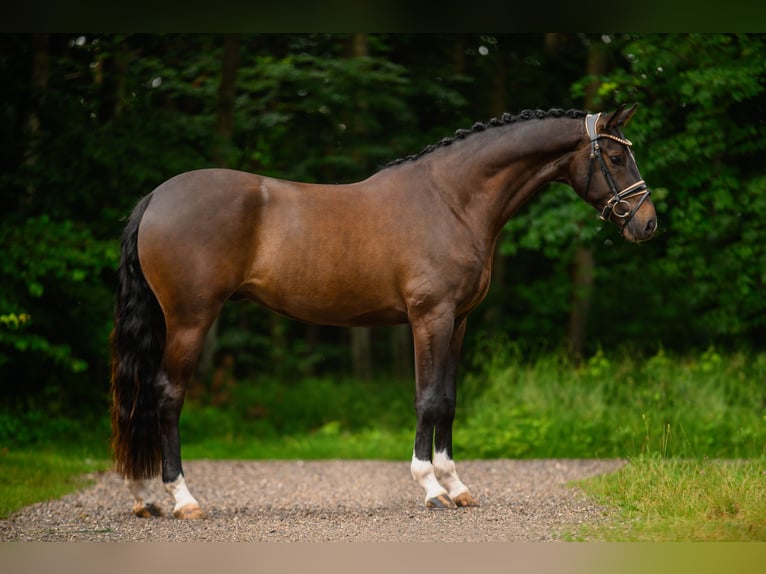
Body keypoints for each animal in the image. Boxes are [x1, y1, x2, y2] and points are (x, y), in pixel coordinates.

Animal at [111, 104, 656, 520]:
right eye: (614, 155)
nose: (647, 224)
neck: (451, 199)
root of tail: (156, 197)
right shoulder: (429, 318)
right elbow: (427, 399)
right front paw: (431, 488)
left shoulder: (458, 322)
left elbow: (449, 401)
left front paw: (456, 486)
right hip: (190, 319)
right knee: (166, 396)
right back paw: (182, 498)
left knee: (139, 394)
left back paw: (144, 498)